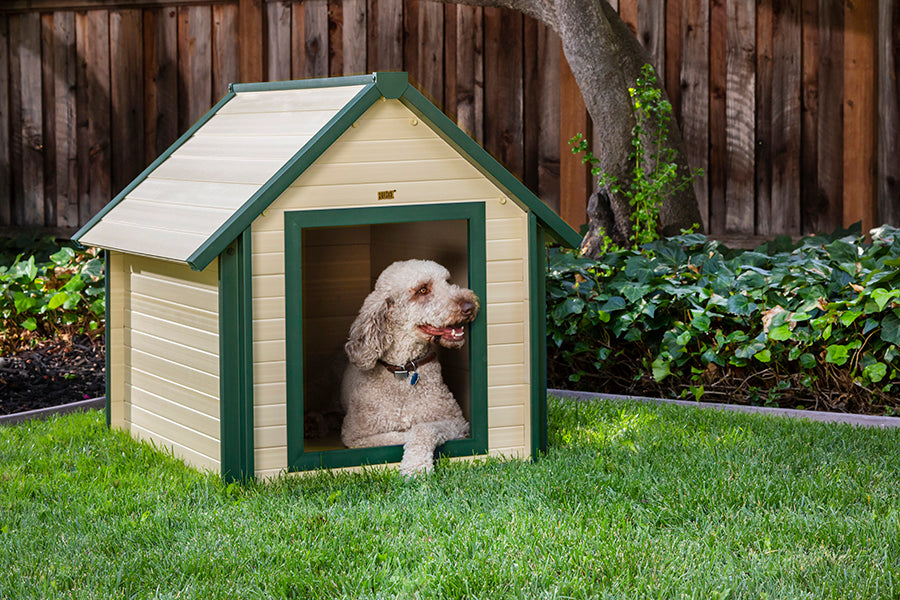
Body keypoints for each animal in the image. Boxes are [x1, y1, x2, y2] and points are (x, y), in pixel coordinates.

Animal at [340, 260, 478, 476]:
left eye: (448, 281)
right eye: (423, 290)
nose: (470, 306)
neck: (405, 369)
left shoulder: (457, 421)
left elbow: (421, 428)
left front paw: (416, 466)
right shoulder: (355, 436)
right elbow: (398, 435)